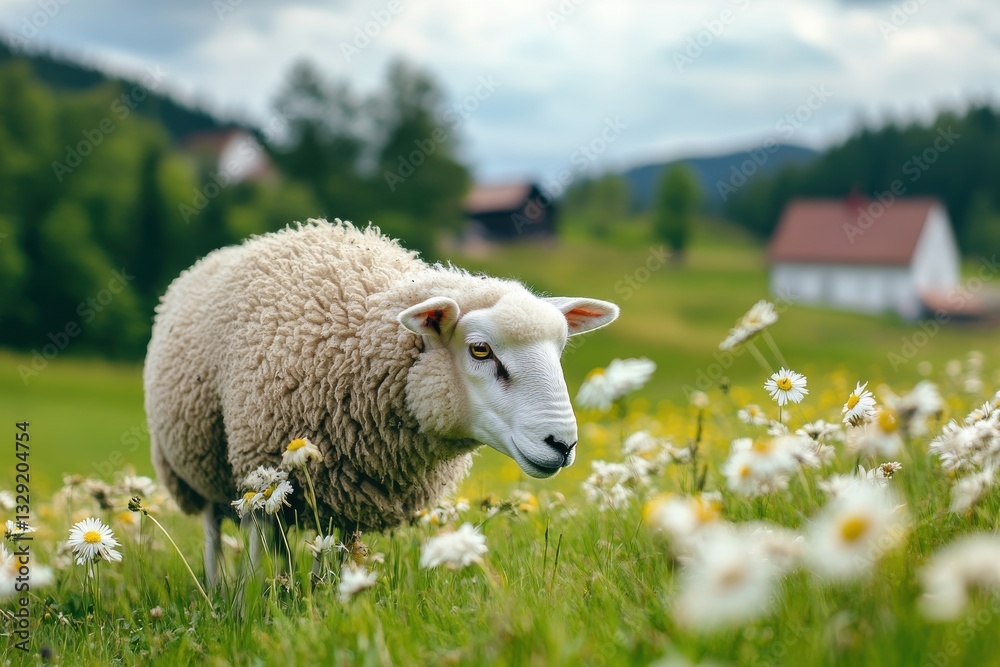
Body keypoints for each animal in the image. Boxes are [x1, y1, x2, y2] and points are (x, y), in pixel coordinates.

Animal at [143, 219, 618, 584]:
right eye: (481, 350)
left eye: (560, 348)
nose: (563, 444)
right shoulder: (258, 465)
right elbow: (256, 546)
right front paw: (253, 609)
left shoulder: (350, 494)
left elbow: (331, 558)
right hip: (199, 466)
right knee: (213, 530)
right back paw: (219, 591)